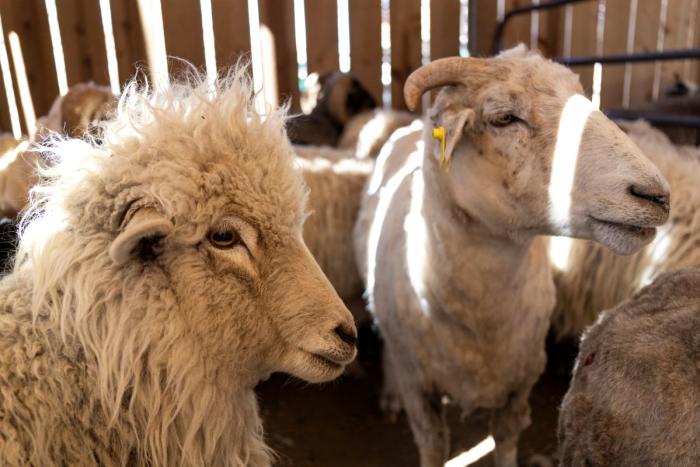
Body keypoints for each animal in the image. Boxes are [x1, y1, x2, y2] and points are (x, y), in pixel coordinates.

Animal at [353, 46, 671, 467]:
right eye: (504, 117)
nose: (656, 195)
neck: (481, 318)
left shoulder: (521, 383)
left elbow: (504, 438)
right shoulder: (419, 391)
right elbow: (433, 443)